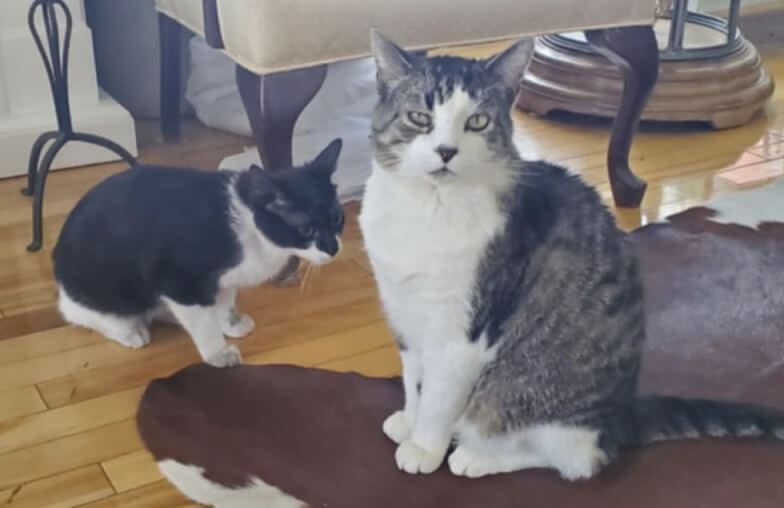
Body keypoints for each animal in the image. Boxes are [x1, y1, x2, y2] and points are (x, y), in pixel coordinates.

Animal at [53, 139, 344, 368]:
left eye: (337, 218)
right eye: (306, 229)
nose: (333, 249)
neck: (251, 227)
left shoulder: (223, 280)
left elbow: (224, 302)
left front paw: (230, 323)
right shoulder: (178, 278)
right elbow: (203, 322)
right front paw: (218, 353)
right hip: (107, 292)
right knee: (82, 313)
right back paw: (130, 331)